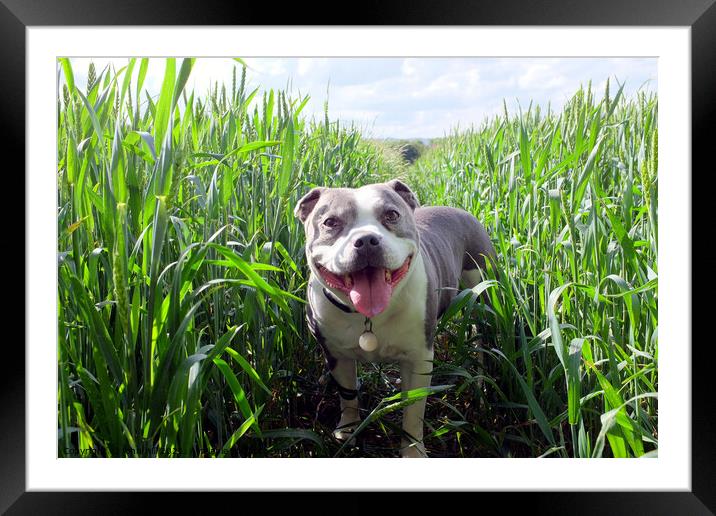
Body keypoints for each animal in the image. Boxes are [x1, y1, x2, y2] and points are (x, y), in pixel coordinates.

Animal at [294, 179, 496, 458]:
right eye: (330, 222)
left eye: (391, 215)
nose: (366, 240)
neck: (368, 318)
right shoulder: (337, 355)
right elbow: (348, 395)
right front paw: (348, 430)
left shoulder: (418, 358)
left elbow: (413, 409)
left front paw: (413, 452)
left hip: (481, 290)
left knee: (481, 335)